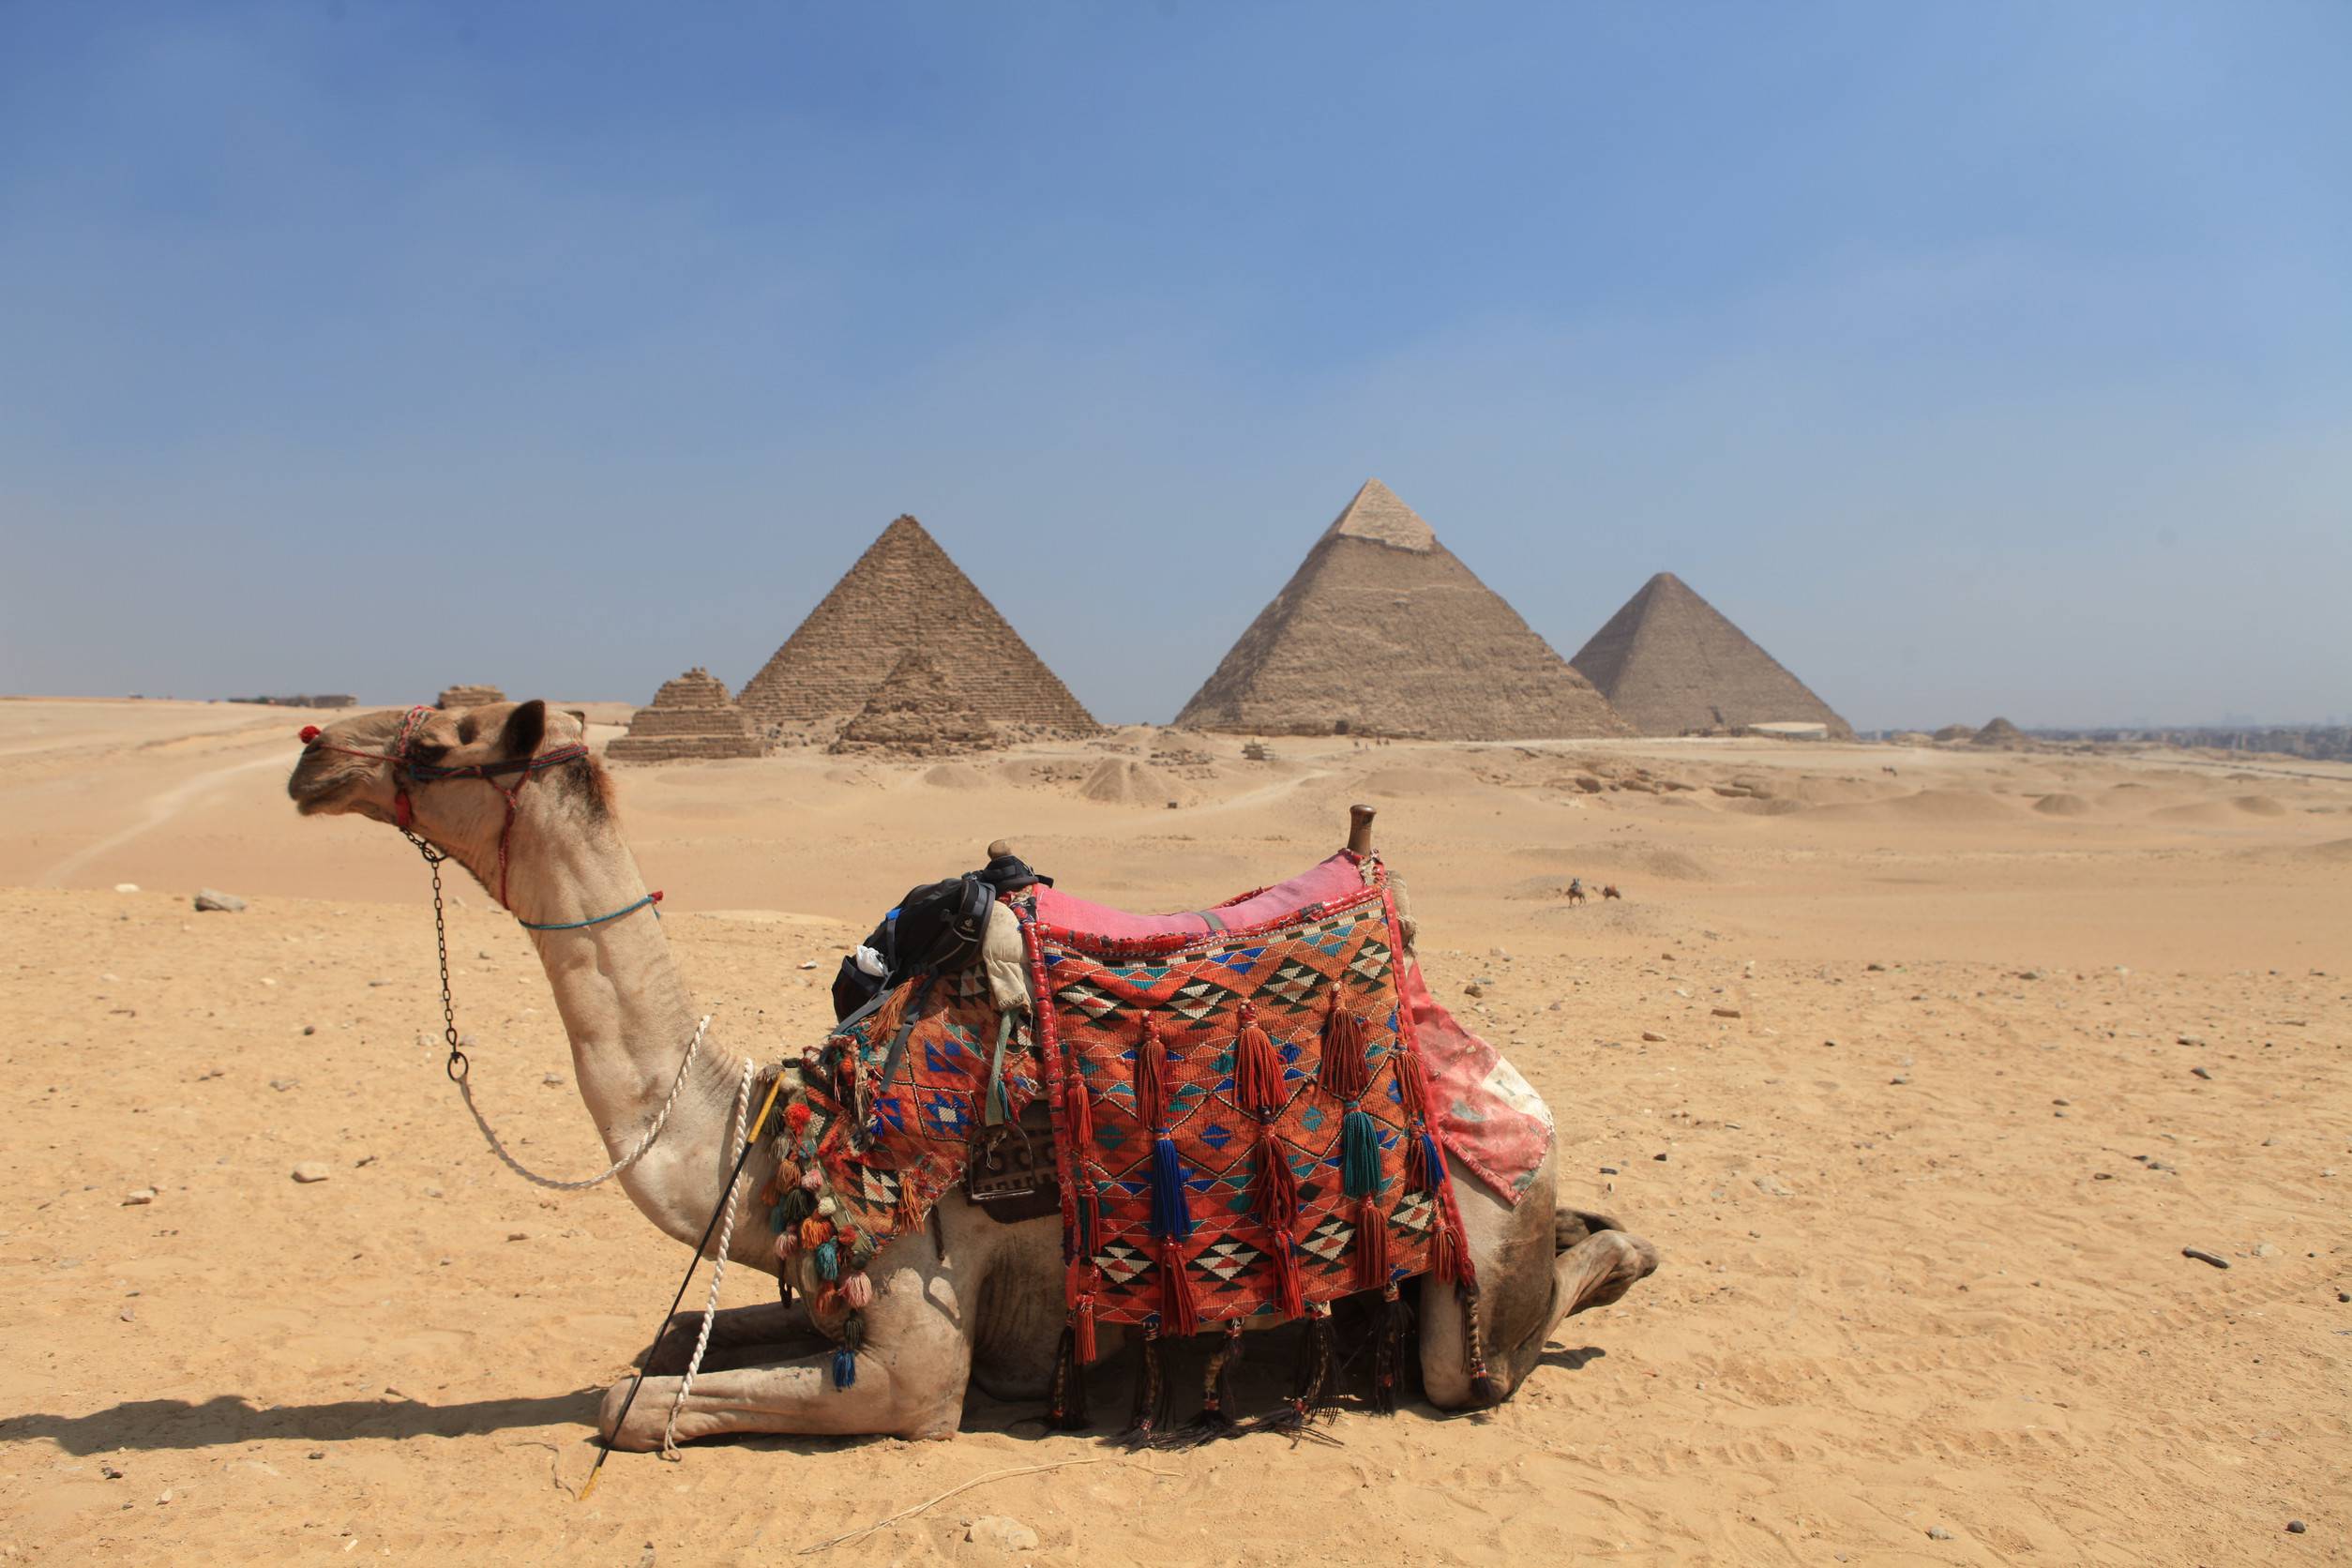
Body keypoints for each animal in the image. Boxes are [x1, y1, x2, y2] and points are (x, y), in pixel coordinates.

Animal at [289, 700, 1658, 1448]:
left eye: (446, 738)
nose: (310, 752)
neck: (772, 1141)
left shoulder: (917, 1360)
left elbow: (629, 1405)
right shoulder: (818, 1281)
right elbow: (667, 1335)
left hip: (1468, 1277)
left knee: (1486, 1353)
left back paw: (1627, 1249)